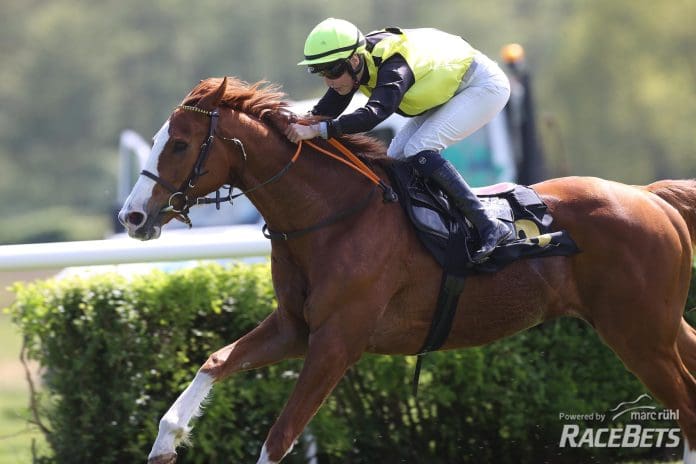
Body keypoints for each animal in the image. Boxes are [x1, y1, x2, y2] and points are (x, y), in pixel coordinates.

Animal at [118, 78, 696, 462]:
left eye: (179, 144)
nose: (132, 216)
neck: (331, 216)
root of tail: (650, 196)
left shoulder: (337, 342)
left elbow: (278, 438)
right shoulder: (294, 329)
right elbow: (215, 360)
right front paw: (166, 440)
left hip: (638, 332)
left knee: (686, 407)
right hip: (659, 326)